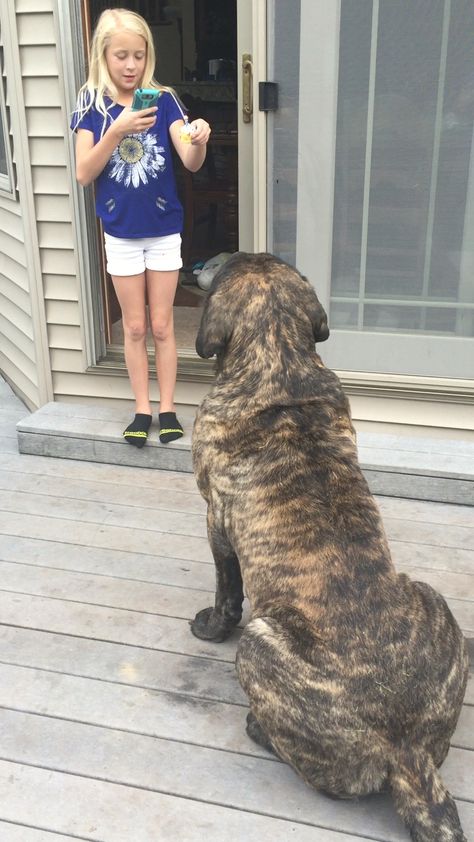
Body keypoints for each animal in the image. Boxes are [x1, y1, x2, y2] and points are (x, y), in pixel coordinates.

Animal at [191, 251, 468, 840]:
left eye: (227, 265)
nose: (202, 261)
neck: (278, 360)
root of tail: (405, 749)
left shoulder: (215, 520)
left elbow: (227, 588)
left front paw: (210, 626)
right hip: (434, 600)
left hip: (259, 643)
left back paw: (257, 727)